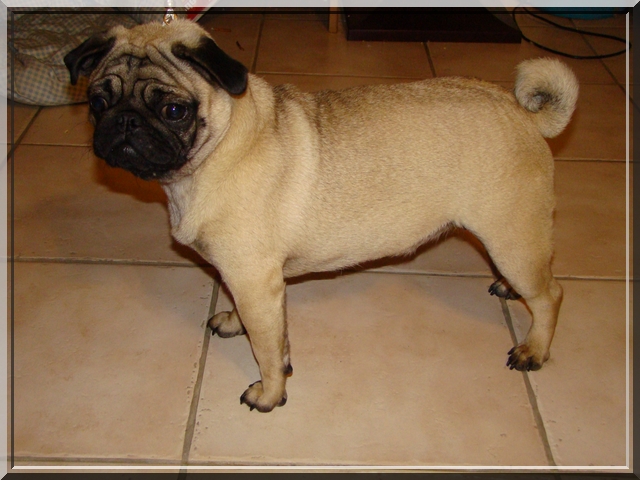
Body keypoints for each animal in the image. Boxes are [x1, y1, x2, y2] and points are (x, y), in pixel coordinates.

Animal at [64, 19, 578, 412]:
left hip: (511, 236)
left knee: (551, 294)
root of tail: (523, 114)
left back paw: (534, 349)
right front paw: (233, 321)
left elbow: (266, 349)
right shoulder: (248, 280)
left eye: (174, 110)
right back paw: (510, 291)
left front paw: (270, 393)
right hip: (511, 240)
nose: (125, 123)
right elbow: (259, 325)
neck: (217, 151)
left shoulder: (256, 282)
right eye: (97, 102)